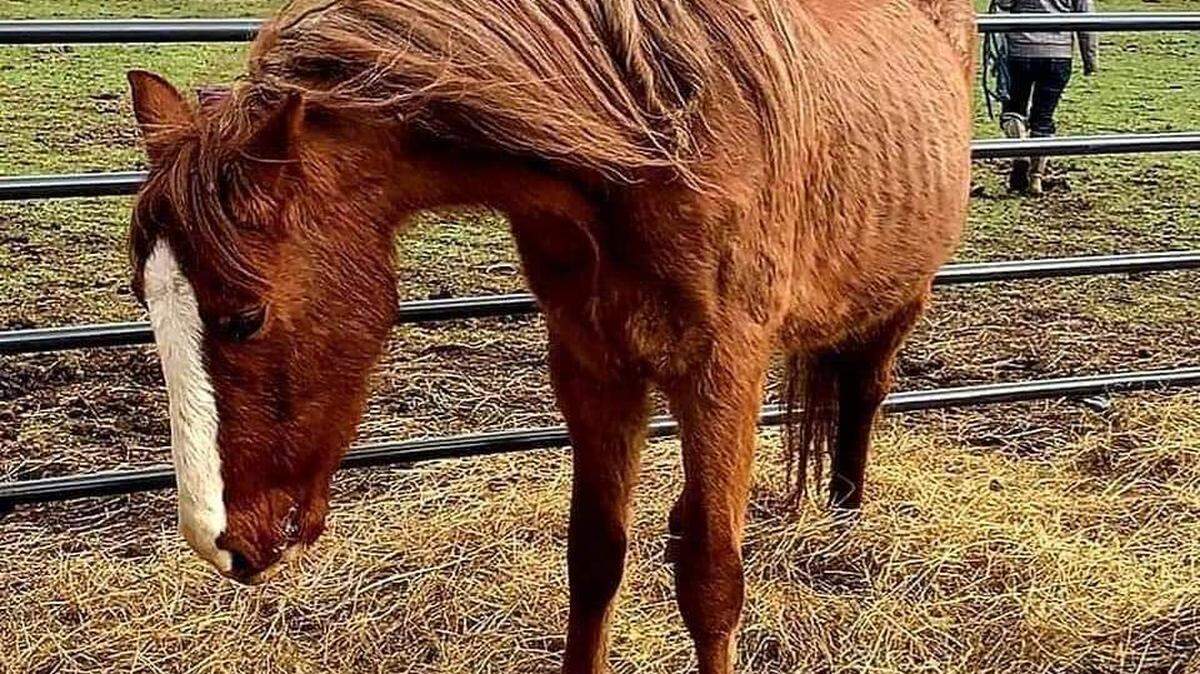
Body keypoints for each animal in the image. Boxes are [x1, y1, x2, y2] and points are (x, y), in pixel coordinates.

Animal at [126, 0, 975, 671]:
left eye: (246, 316)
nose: (218, 542)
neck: (653, 142)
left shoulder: (722, 372)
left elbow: (712, 581)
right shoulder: (591, 365)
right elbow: (595, 558)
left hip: (899, 299)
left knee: (863, 393)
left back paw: (846, 520)